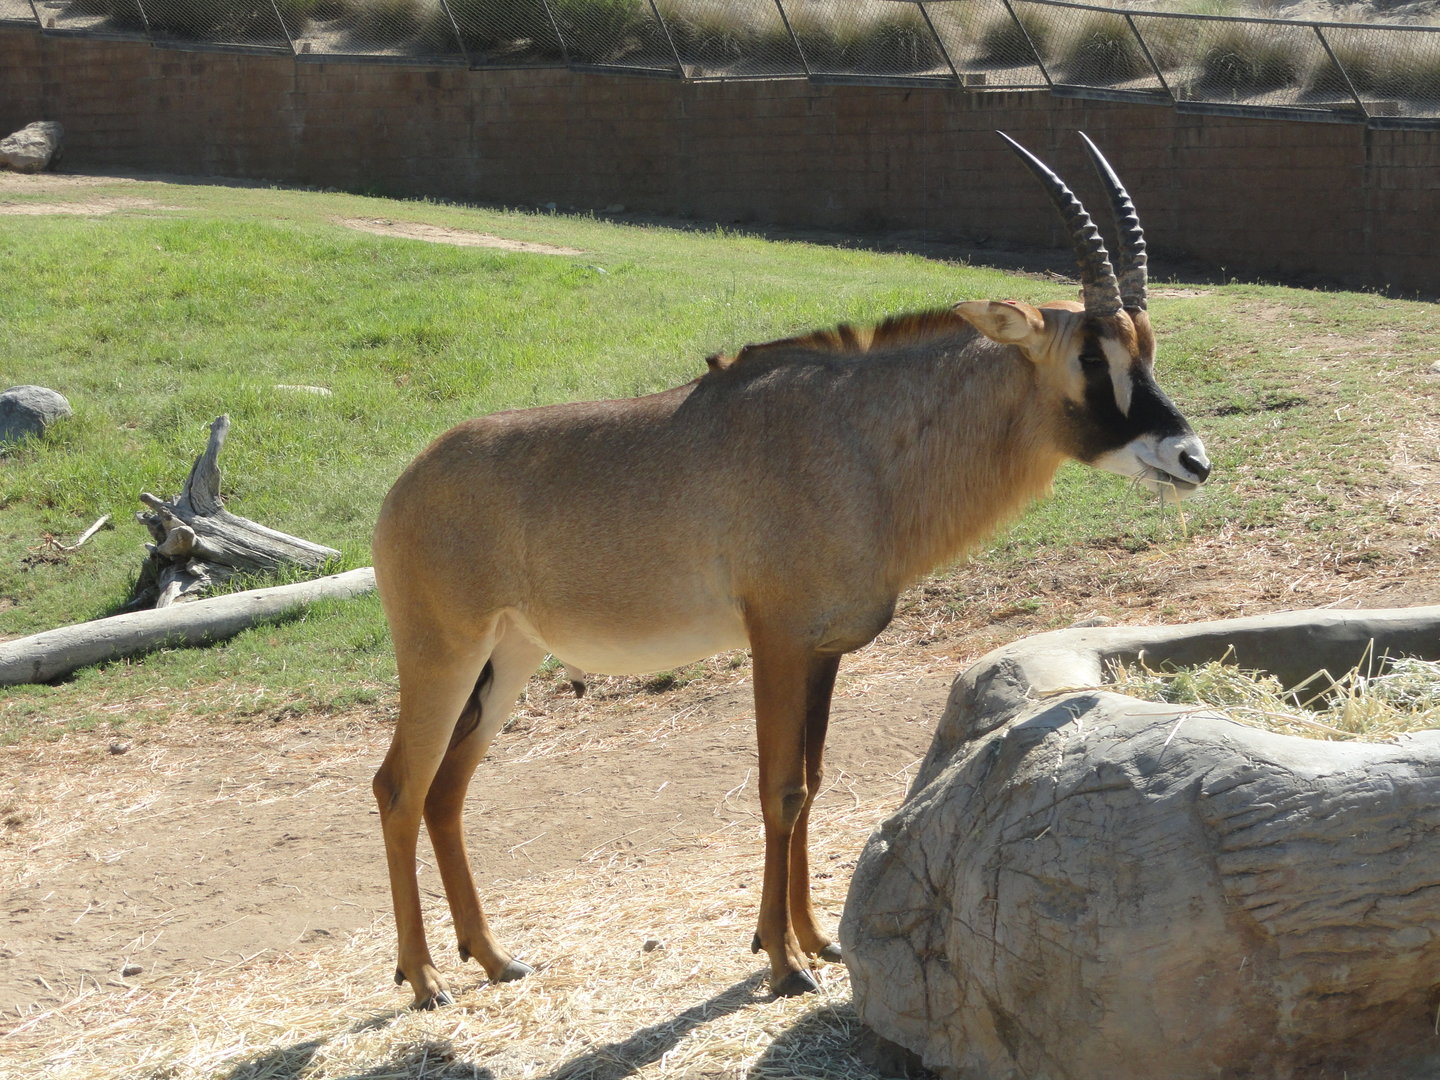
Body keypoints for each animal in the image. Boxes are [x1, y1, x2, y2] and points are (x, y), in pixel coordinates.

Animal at [371, 133, 1211, 1007]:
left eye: (1147, 347)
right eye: (1089, 355)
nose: (1192, 459)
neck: (857, 443)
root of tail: (403, 488)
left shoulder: (824, 651)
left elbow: (810, 787)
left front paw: (812, 940)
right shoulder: (774, 640)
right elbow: (780, 789)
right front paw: (781, 962)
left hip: (509, 658)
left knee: (445, 789)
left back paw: (493, 957)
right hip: (443, 654)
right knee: (398, 786)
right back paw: (424, 977)